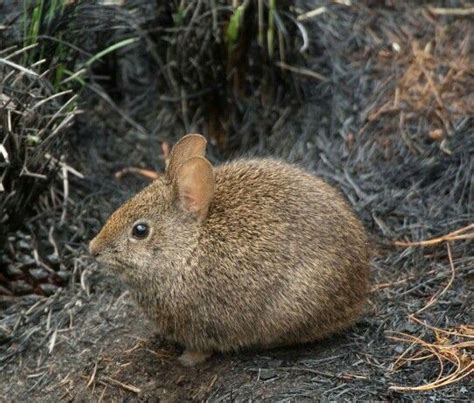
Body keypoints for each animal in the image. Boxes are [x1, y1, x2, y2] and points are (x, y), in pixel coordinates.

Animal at [90, 134, 370, 368]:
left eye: (140, 230)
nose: (94, 249)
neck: (188, 248)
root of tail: (359, 287)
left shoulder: (203, 324)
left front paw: (186, 360)